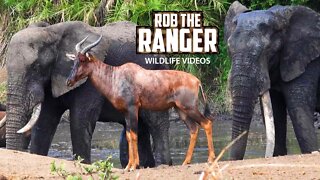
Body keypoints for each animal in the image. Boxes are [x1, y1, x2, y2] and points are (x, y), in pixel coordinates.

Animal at [5, 20, 172, 167]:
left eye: (36, 67)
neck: (51, 31)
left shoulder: (90, 79)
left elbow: (80, 119)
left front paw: (83, 164)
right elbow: (45, 121)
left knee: (157, 123)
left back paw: (163, 165)